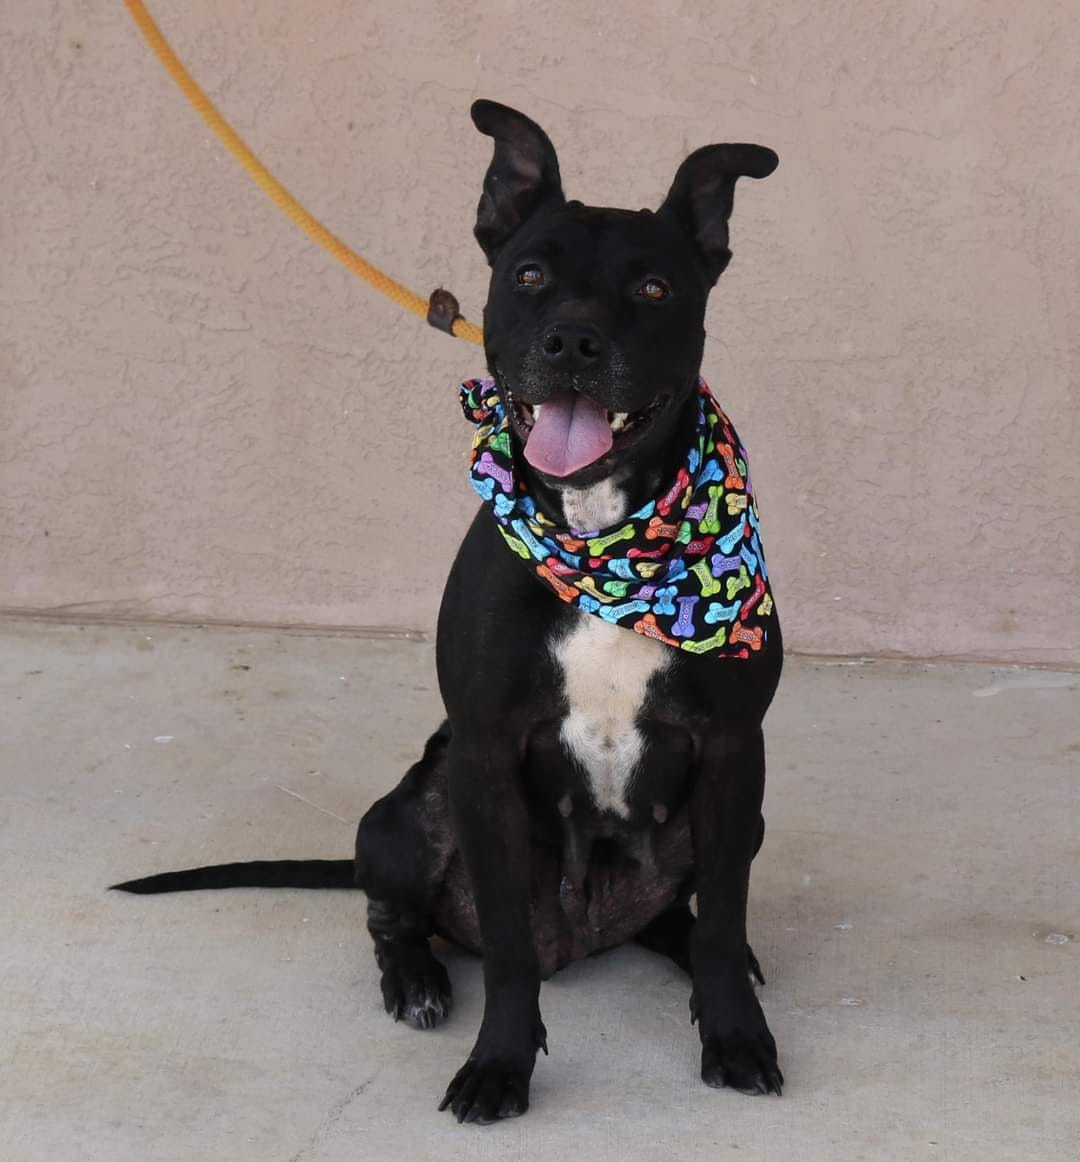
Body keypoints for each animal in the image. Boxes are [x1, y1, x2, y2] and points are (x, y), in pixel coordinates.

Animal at [113, 102, 781, 1124]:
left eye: (656, 286)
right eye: (530, 274)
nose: (573, 341)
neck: (601, 535)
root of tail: (585, 937)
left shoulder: (735, 753)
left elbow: (722, 915)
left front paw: (735, 1029)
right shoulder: (484, 754)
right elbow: (505, 947)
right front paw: (498, 1062)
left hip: (733, 821)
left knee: (686, 913)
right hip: (406, 812)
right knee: (394, 917)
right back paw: (418, 981)